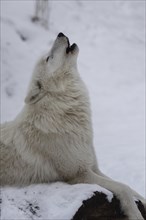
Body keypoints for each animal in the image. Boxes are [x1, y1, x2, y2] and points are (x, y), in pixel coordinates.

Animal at [0, 33, 145, 220]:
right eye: (49, 58)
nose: (60, 34)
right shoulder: (79, 174)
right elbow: (123, 187)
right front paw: (135, 214)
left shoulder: (93, 167)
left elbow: (131, 188)